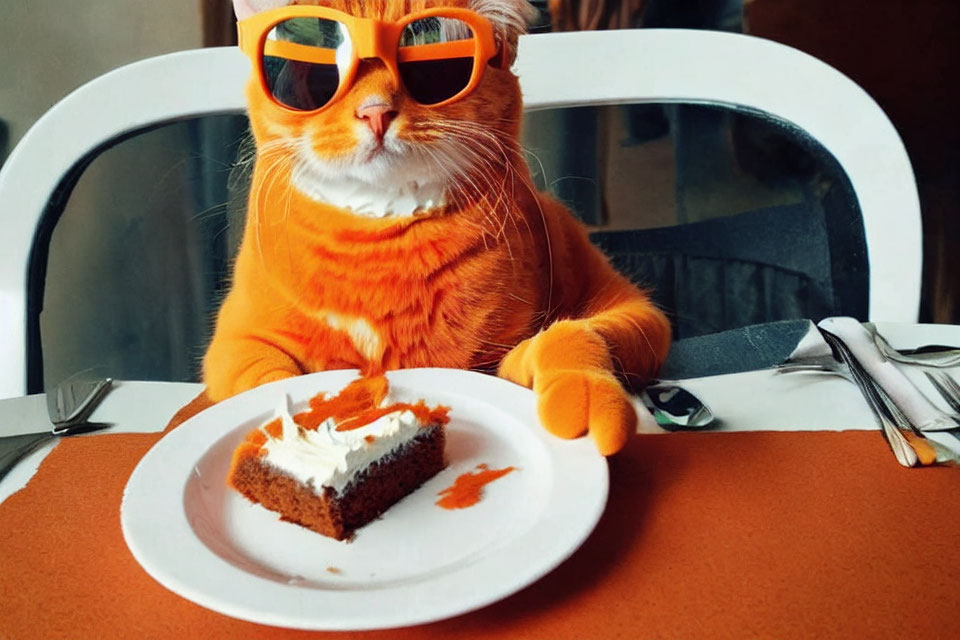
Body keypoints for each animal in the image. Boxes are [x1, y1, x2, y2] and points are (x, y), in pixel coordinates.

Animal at [204, 0, 668, 456]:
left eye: (429, 59)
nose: (375, 110)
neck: (380, 243)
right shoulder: (235, 344)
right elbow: (271, 380)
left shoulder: (637, 314)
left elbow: (573, 335)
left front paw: (574, 392)